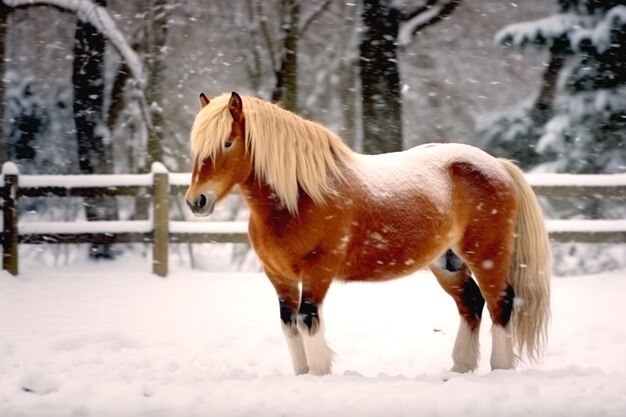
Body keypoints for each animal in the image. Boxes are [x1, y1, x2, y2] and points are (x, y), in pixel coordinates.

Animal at [185, 92, 552, 376]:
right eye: (196, 149)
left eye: (227, 142)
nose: (196, 201)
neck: (300, 198)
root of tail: (497, 165)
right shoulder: (280, 278)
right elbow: (289, 324)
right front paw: (303, 375)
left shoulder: (318, 272)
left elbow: (307, 320)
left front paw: (318, 375)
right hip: (447, 264)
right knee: (472, 304)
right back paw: (460, 368)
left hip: (487, 256)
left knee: (501, 304)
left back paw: (499, 369)